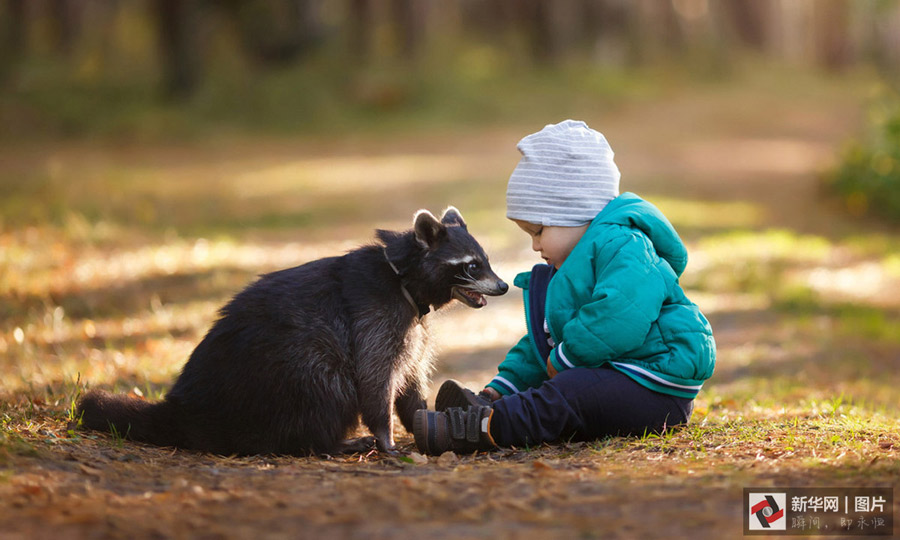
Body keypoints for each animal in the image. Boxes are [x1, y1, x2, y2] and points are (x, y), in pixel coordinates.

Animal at [77, 209, 506, 454]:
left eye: (485, 261)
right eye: (471, 266)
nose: (503, 286)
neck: (403, 277)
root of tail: (189, 407)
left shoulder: (412, 330)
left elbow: (410, 379)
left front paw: (422, 420)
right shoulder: (375, 317)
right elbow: (374, 378)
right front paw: (386, 434)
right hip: (287, 371)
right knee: (326, 384)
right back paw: (324, 443)